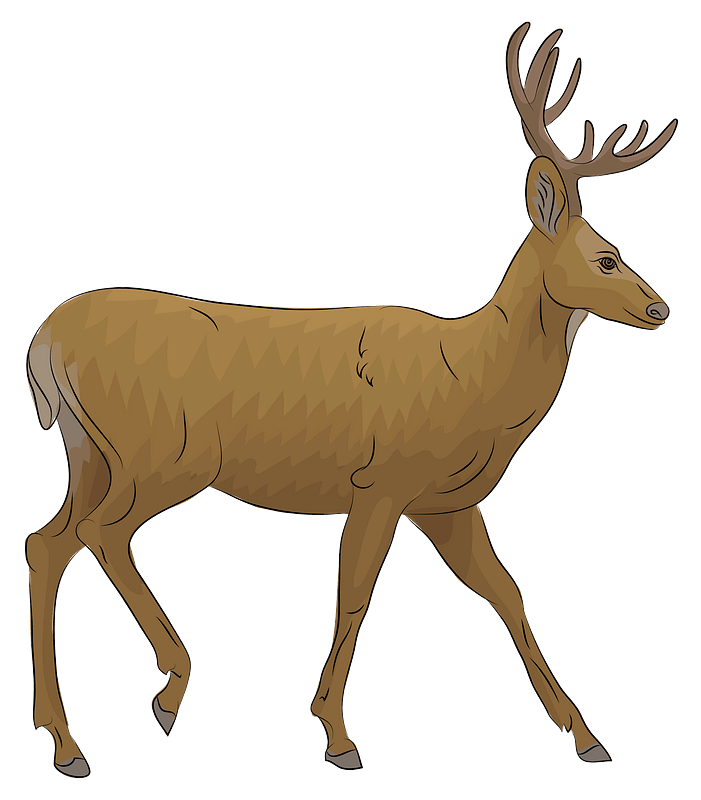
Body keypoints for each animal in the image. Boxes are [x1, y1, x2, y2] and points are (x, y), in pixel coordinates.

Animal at [25, 21, 675, 776]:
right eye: (606, 257)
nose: (659, 307)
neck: (471, 381)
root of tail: (47, 340)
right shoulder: (381, 481)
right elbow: (356, 594)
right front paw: (336, 735)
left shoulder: (448, 504)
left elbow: (509, 594)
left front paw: (585, 734)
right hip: (160, 454)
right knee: (100, 534)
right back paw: (169, 689)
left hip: (91, 455)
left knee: (48, 542)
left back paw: (66, 742)